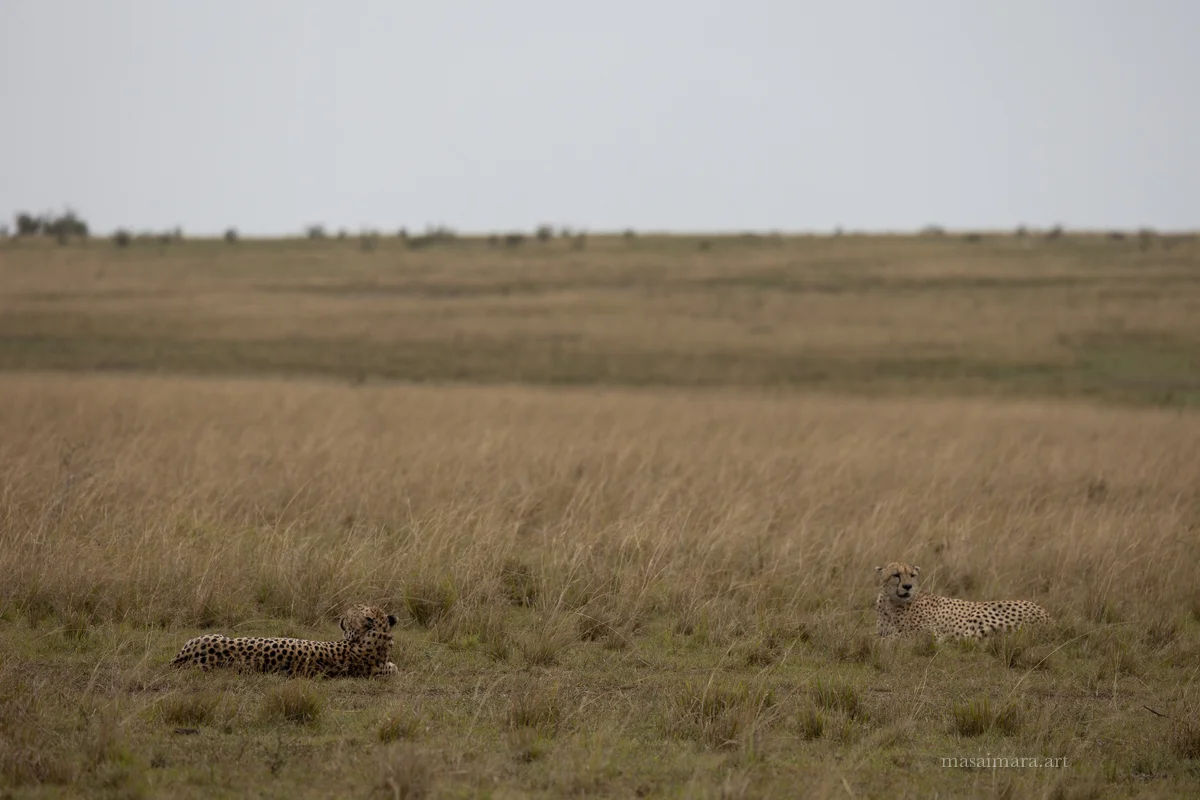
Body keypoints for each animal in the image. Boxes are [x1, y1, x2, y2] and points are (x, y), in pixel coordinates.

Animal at [874, 562, 1050, 640]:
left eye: (912, 575)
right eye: (896, 575)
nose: (908, 586)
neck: (891, 604)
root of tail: (1047, 616)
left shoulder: (930, 632)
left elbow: (899, 635)